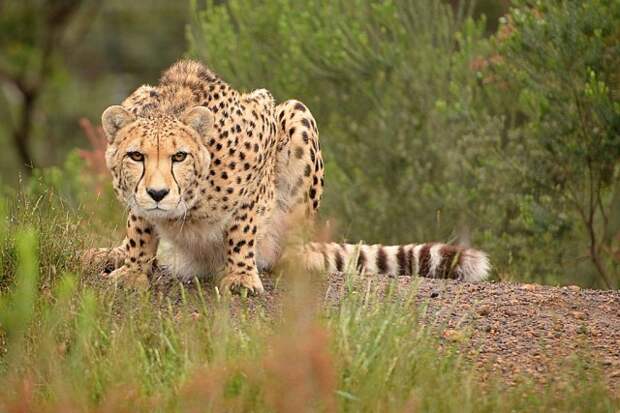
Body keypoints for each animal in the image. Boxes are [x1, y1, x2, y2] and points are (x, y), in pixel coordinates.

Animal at [85, 60, 490, 292]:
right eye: (136, 156)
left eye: (179, 156)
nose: (157, 193)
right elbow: (139, 228)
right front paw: (133, 268)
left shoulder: (264, 121)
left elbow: (242, 225)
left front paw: (241, 275)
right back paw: (110, 253)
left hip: (298, 116)